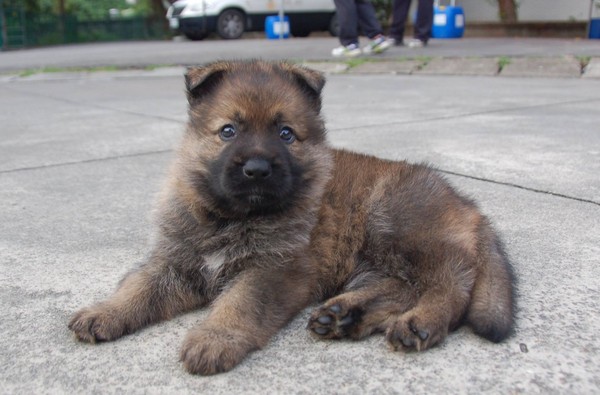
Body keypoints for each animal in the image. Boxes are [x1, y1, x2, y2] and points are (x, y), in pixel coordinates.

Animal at [67, 60, 516, 376]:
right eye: (228, 131)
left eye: (285, 134)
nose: (257, 169)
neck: (231, 217)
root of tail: (469, 205)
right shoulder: (174, 261)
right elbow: (137, 287)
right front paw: (104, 312)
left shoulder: (273, 269)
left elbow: (240, 304)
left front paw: (215, 338)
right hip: (374, 254)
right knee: (403, 285)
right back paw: (345, 315)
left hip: (396, 221)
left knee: (450, 281)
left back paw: (420, 321)